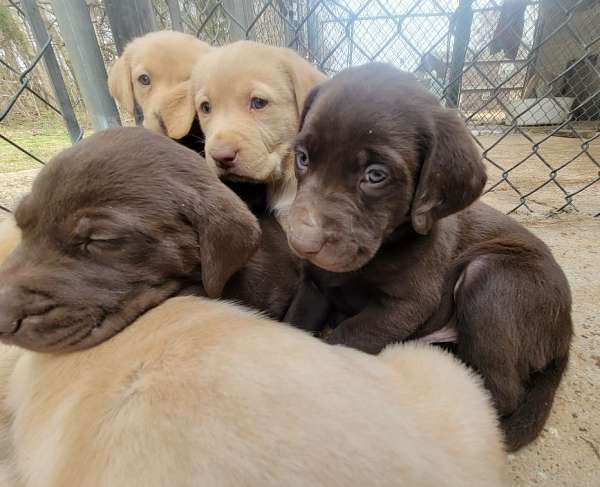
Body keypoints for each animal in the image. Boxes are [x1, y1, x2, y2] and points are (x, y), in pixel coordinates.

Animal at [288, 63, 576, 452]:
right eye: (302, 158)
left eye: (375, 175)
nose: (300, 241)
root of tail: (566, 332)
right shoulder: (315, 286)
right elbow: (294, 324)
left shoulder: (406, 305)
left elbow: (344, 337)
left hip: (490, 278)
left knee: (502, 393)